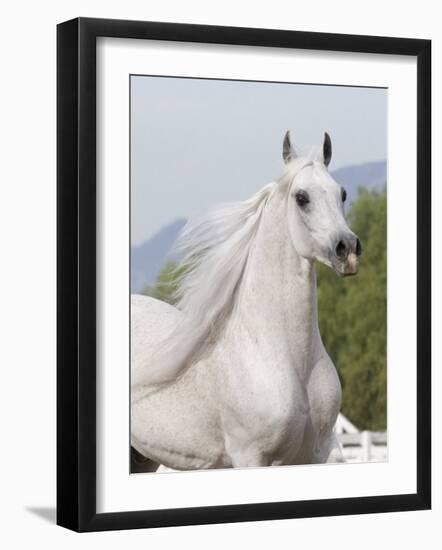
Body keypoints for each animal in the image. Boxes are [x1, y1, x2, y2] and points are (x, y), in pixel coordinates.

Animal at [129, 132, 360, 472]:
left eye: (341, 193)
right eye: (301, 197)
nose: (349, 250)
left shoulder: (323, 451)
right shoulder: (251, 456)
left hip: (142, 456)